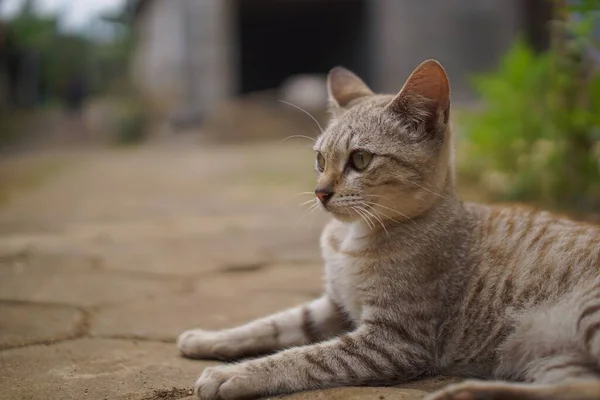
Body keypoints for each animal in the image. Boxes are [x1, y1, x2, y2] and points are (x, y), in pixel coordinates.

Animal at [177, 59, 600, 400]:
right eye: (320, 160)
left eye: (361, 160)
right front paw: (208, 339)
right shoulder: (334, 306)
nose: (320, 192)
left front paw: (233, 374)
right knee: (578, 388)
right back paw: (472, 392)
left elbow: (306, 357)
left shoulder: (392, 340)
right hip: (549, 358)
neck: (351, 239)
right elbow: (272, 324)